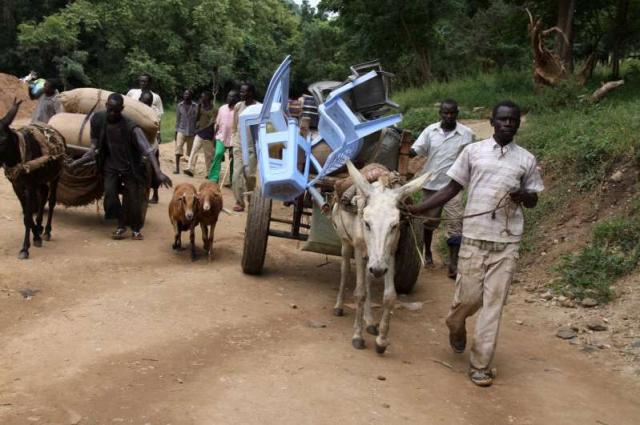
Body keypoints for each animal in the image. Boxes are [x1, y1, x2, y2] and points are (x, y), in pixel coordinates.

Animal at [332, 161, 428, 352]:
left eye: (395, 225)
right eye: (367, 223)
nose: (377, 270)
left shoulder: (389, 254)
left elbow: (389, 296)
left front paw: (382, 340)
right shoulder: (359, 250)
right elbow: (360, 293)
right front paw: (357, 336)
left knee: (368, 281)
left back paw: (369, 322)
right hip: (346, 244)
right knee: (345, 270)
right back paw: (339, 306)